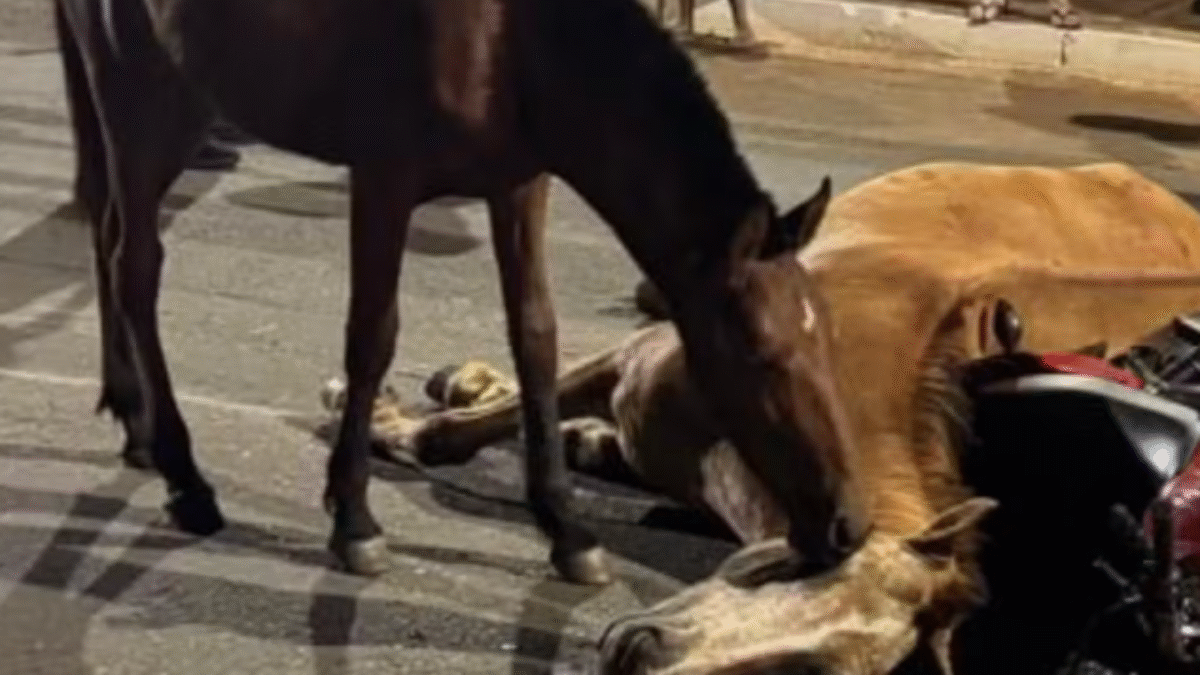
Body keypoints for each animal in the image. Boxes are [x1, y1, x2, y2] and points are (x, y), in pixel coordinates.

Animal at [52, 0, 870, 585]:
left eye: (828, 336)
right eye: (761, 353)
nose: (851, 526)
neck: (511, 40)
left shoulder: (518, 186)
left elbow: (535, 337)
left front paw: (566, 528)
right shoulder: (384, 179)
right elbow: (372, 336)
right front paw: (353, 518)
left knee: (108, 235)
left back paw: (134, 421)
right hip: (145, 100)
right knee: (135, 264)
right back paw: (185, 477)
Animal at [363, 162, 1200, 674]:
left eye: (807, 669)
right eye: (793, 565)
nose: (641, 650)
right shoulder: (642, 352)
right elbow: (477, 426)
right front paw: (389, 420)